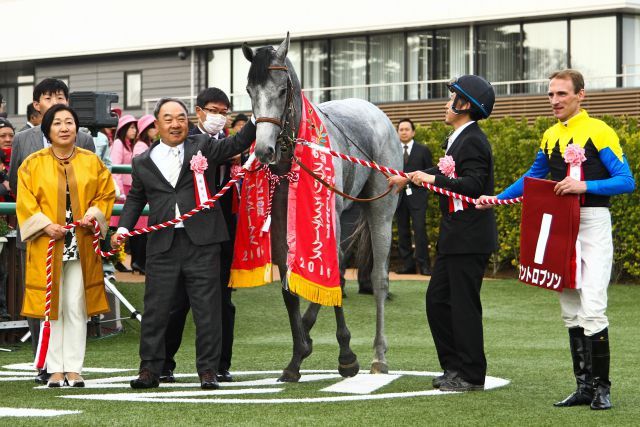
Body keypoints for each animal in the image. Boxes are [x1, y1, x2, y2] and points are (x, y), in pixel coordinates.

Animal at [244, 33, 400, 382]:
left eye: (282, 90)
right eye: (249, 90)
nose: (264, 150)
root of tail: (374, 112)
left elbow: (332, 274)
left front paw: (347, 356)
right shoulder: (281, 221)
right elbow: (289, 285)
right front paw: (296, 356)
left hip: (380, 207)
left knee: (377, 277)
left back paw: (379, 356)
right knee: (339, 266)